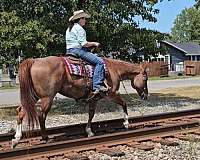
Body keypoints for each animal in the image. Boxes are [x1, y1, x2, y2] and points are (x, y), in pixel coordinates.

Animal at [11, 56, 148, 148]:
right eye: (145, 78)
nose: (146, 96)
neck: (113, 69)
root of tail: (34, 61)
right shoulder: (111, 94)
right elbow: (124, 103)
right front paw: (126, 123)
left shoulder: (94, 99)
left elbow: (91, 114)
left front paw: (89, 131)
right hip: (47, 97)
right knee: (41, 115)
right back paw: (45, 137)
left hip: (33, 96)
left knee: (21, 111)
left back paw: (16, 138)